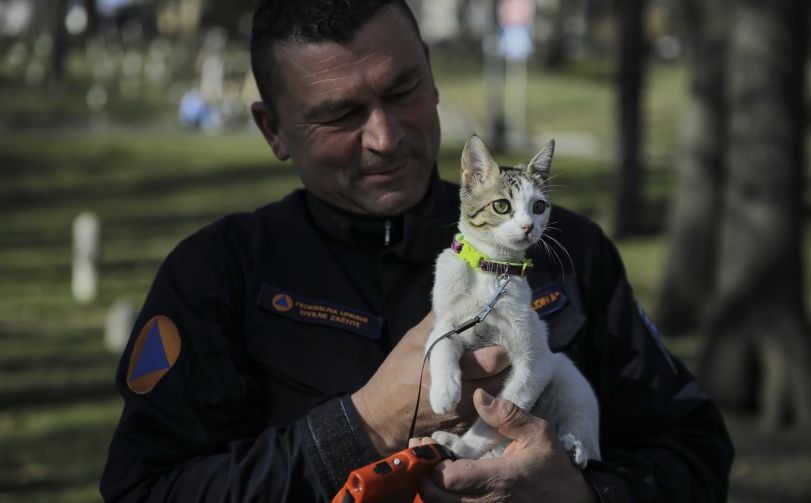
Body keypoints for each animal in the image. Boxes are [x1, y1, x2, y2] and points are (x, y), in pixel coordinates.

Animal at [428, 135, 600, 468]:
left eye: (539, 206)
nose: (528, 226)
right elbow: (441, 345)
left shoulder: (537, 360)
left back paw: (573, 447)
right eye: (501, 205)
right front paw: (443, 391)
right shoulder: (444, 323)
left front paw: (466, 448)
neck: (492, 271)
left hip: (567, 373)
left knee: (579, 422)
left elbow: (501, 410)